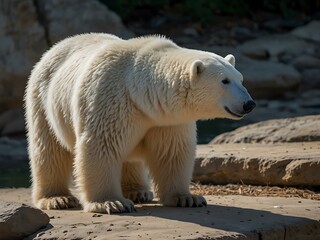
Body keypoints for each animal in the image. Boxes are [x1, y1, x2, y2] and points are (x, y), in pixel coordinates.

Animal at [24, 33, 255, 214]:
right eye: (224, 81)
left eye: (241, 78)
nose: (249, 104)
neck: (139, 92)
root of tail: (57, 46)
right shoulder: (109, 100)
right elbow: (101, 146)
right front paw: (111, 203)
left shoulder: (167, 119)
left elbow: (172, 151)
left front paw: (187, 198)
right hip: (43, 99)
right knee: (49, 150)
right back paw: (57, 199)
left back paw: (138, 191)